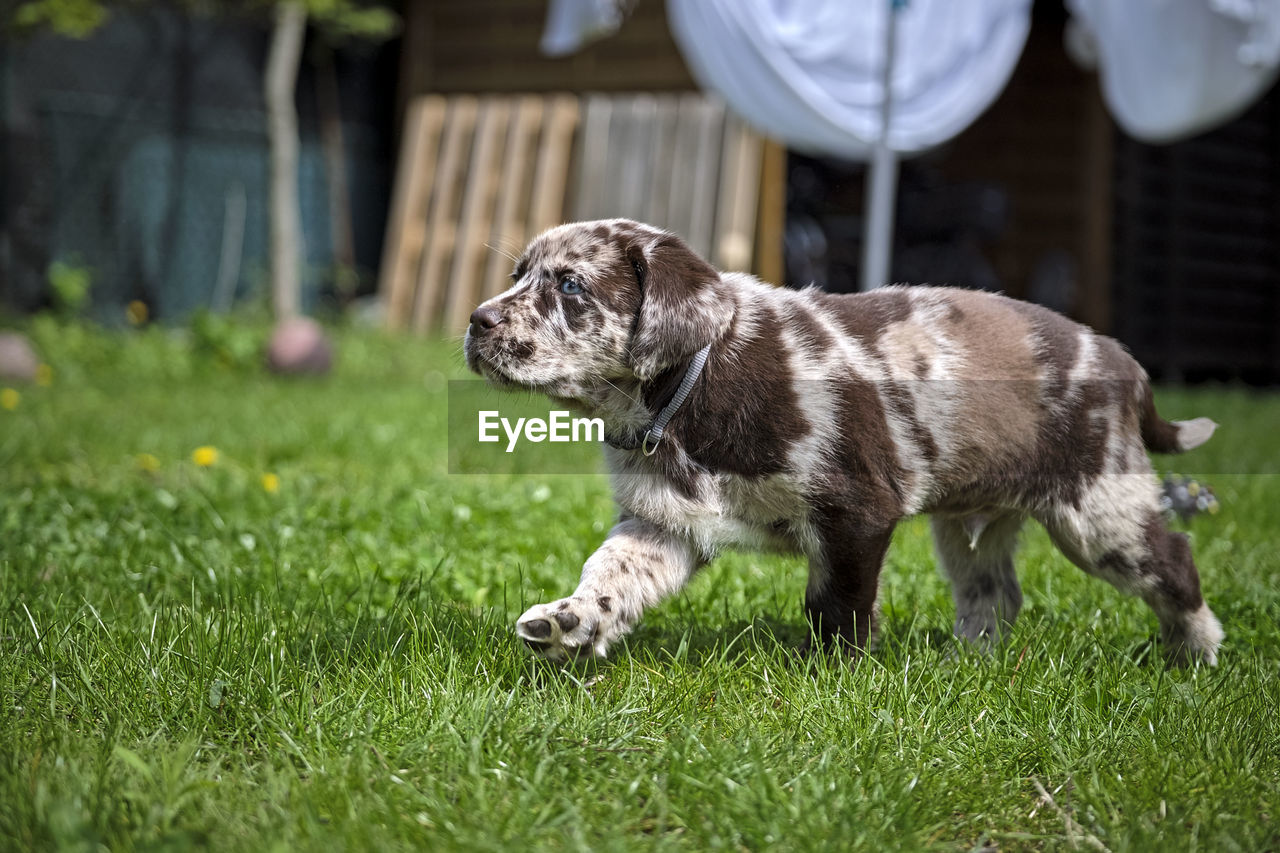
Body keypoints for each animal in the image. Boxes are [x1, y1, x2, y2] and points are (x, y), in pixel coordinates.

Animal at [463, 217, 1218, 666]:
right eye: (518, 276)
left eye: (569, 286)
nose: (476, 321)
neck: (694, 386)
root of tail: (1125, 362)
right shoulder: (664, 523)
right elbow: (610, 576)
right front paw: (570, 621)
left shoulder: (855, 511)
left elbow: (836, 604)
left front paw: (837, 677)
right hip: (972, 526)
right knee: (995, 594)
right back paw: (967, 664)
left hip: (1098, 510)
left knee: (1174, 560)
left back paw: (1196, 653)